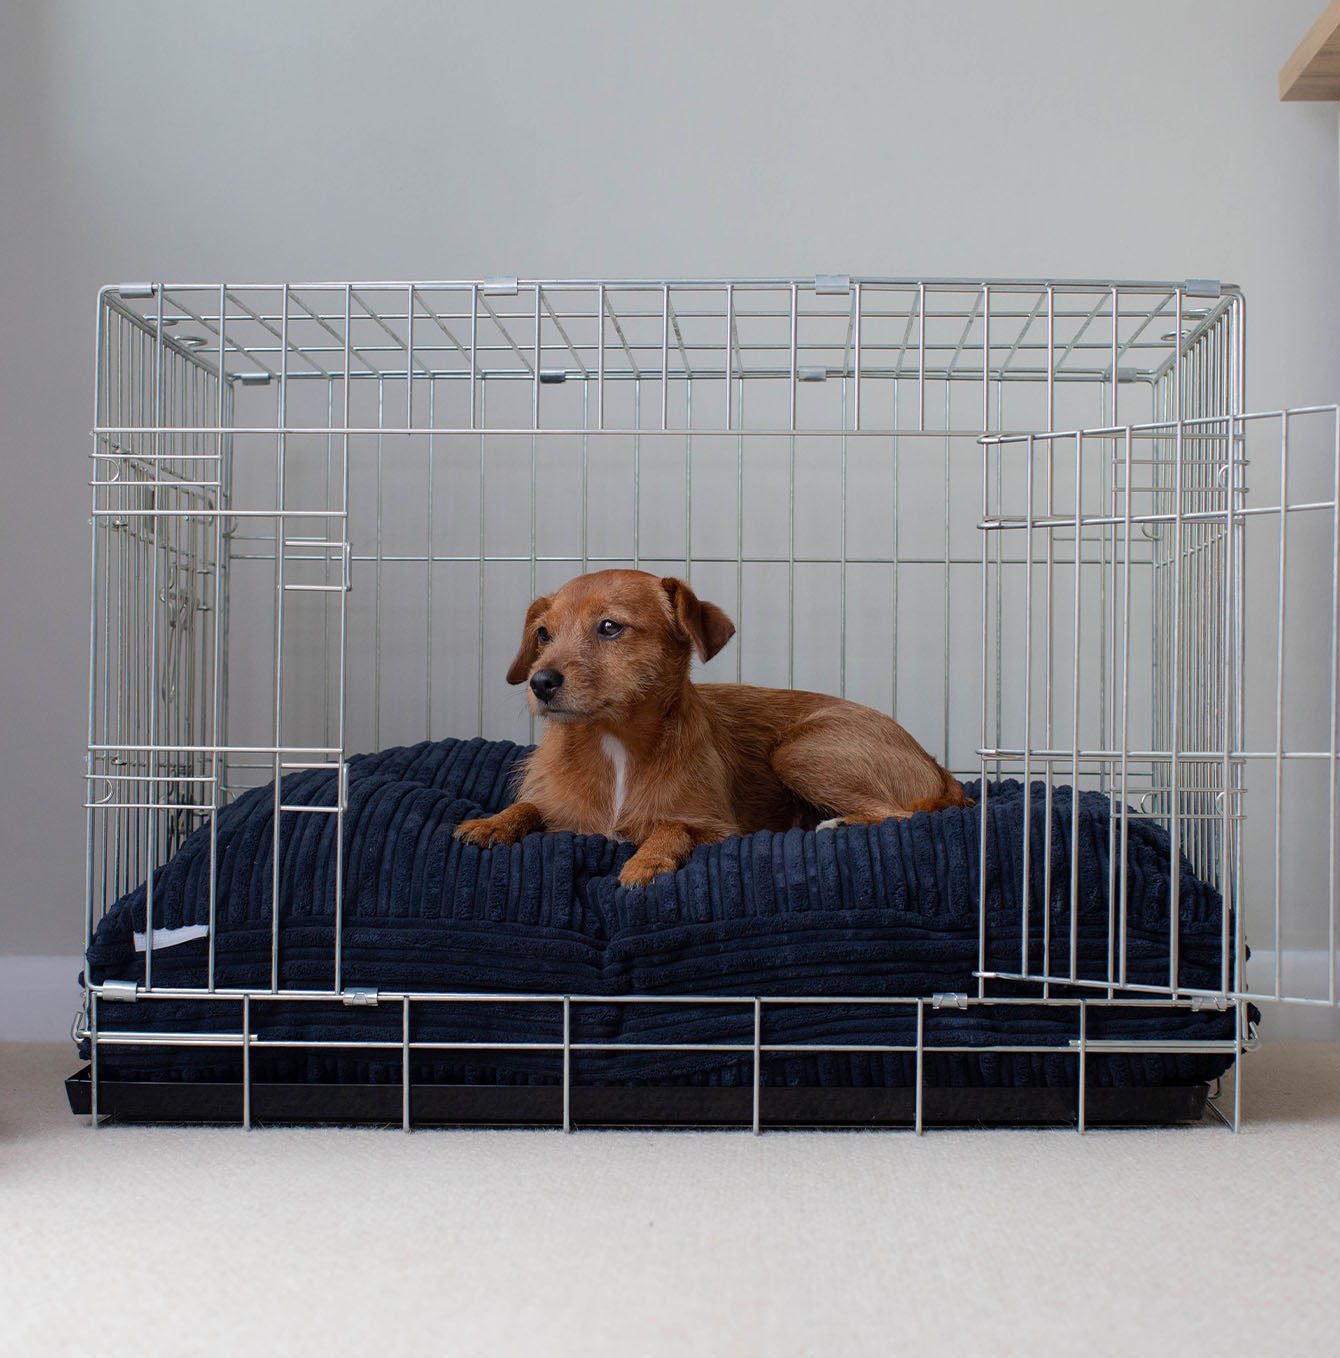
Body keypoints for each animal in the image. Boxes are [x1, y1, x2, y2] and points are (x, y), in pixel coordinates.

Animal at [453, 564, 972, 890]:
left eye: (609, 627)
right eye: (543, 634)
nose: (540, 682)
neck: (613, 743)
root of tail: (935, 763)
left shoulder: (719, 830)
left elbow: (673, 825)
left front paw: (647, 860)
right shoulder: (559, 812)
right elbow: (528, 807)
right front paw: (490, 823)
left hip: (801, 751)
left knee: (903, 815)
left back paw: (838, 824)